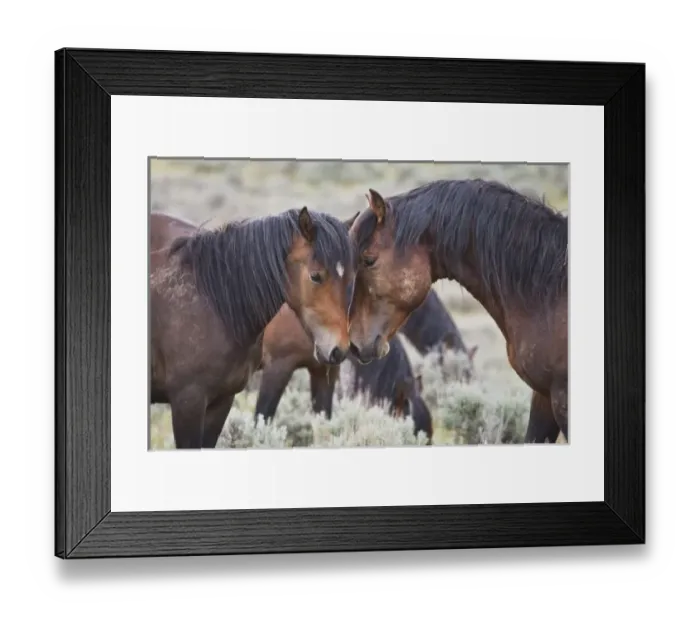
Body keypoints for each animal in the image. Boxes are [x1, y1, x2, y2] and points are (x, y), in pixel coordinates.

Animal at [149, 207, 357, 449]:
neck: (213, 304)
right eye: (315, 276)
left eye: (351, 278)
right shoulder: (189, 401)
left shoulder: (223, 400)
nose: (339, 348)